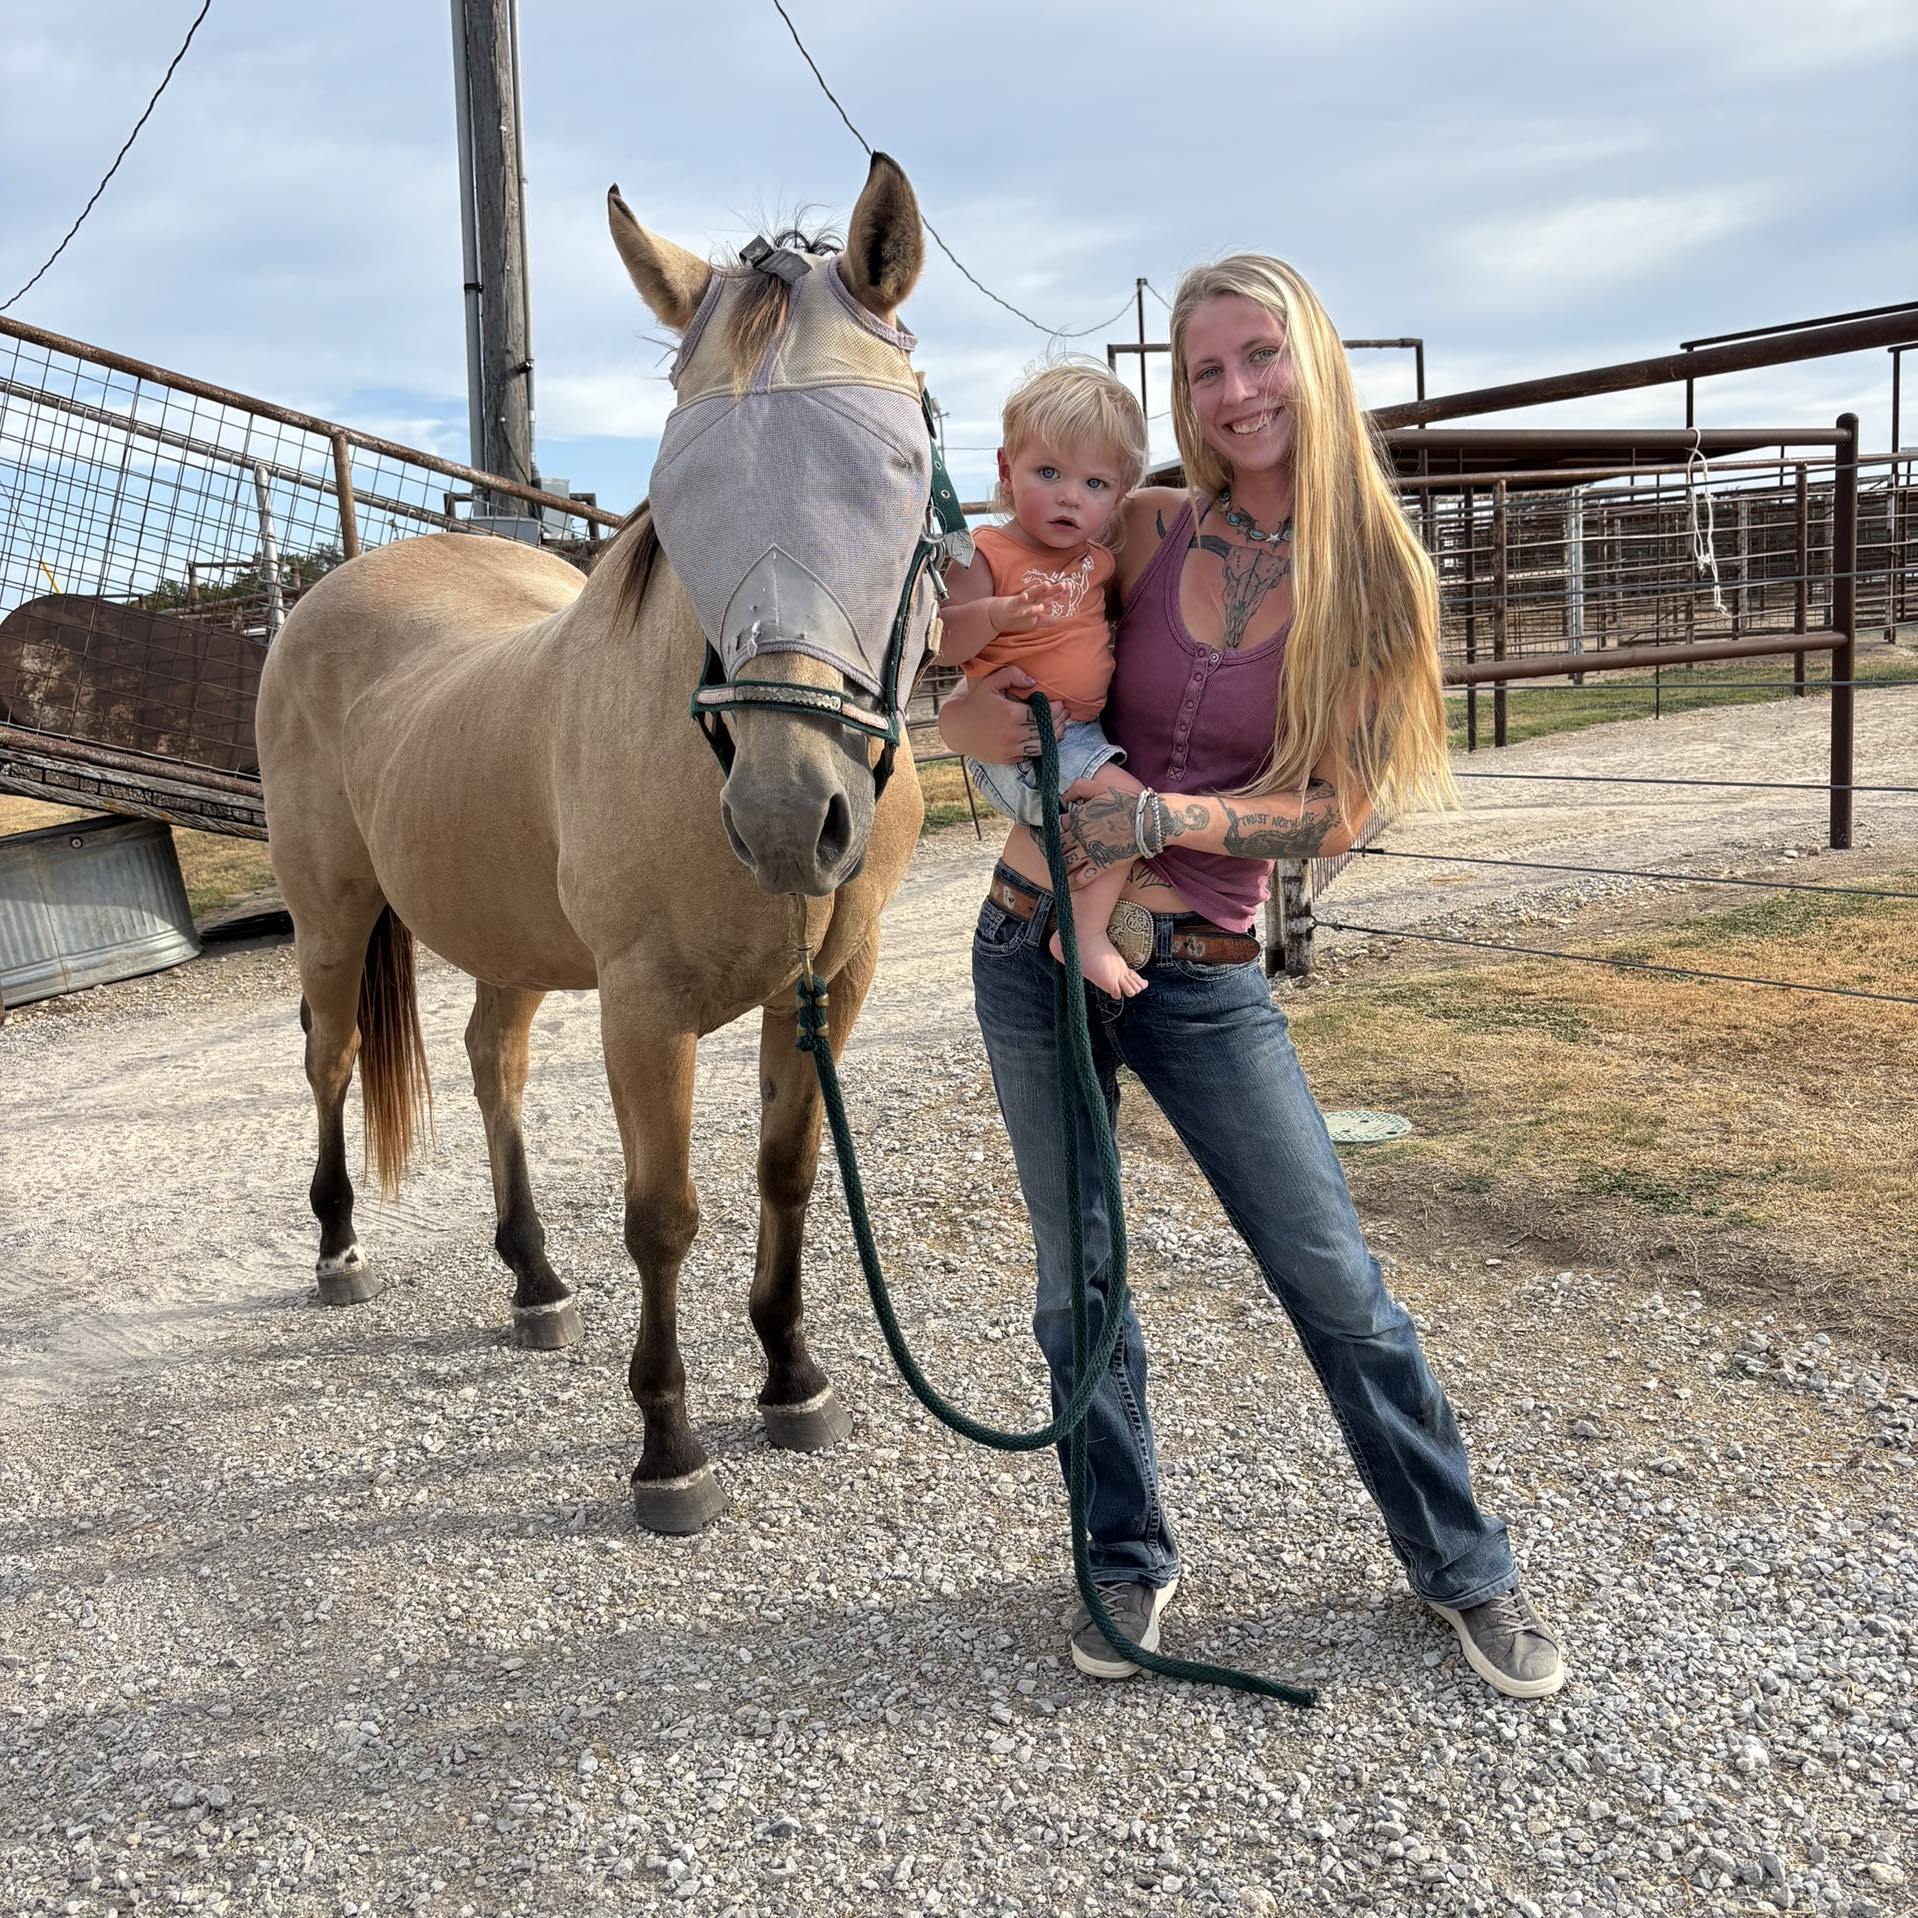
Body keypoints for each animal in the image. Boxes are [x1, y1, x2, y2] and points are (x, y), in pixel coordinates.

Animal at [255, 156, 943, 1534]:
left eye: (898, 463)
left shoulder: (830, 982)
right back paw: (339, 1248)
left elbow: (786, 1175)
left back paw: (533, 1282)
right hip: (332, 916)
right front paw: (669, 1449)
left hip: (506, 937)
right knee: (330, 1058)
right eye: (673, 490)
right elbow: (664, 1217)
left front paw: (792, 1377)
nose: (786, 818)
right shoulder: (643, 1006)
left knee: (491, 1062)